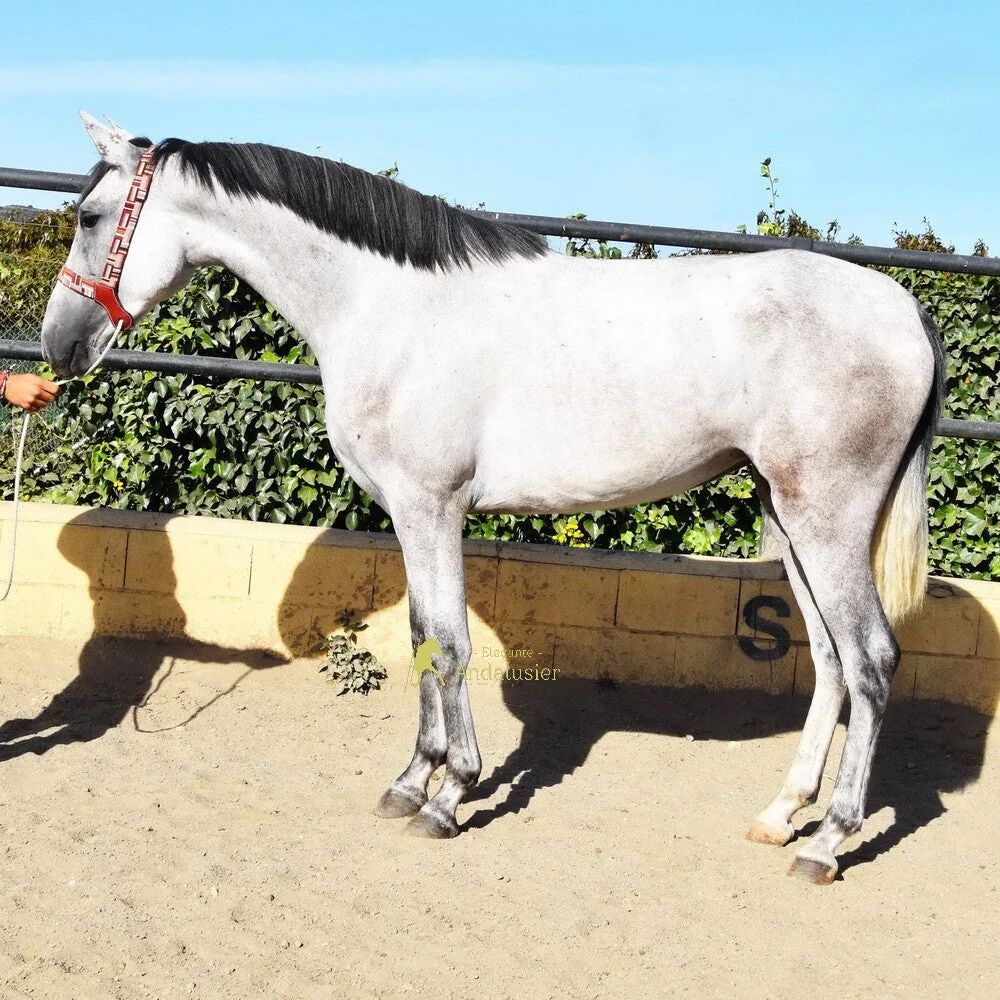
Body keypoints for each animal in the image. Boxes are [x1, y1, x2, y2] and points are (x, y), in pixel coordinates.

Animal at [41, 113, 945, 884]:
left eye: (89, 216)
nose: (58, 346)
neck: (389, 306)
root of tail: (905, 310)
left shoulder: (430, 506)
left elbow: (447, 645)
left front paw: (450, 795)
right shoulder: (409, 514)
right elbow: (419, 638)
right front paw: (412, 781)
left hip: (827, 521)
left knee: (870, 660)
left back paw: (829, 841)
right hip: (788, 516)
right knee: (828, 659)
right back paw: (783, 815)